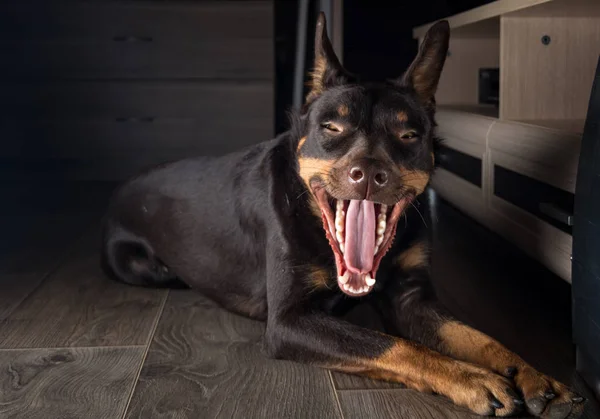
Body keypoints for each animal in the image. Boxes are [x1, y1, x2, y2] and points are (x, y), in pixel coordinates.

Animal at [102, 13, 584, 419]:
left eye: (408, 135)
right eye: (332, 128)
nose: (369, 173)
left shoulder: (411, 298)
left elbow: (478, 336)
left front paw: (534, 375)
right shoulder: (290, 322)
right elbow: (392, 345)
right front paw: (471, 377)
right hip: (139, 266)